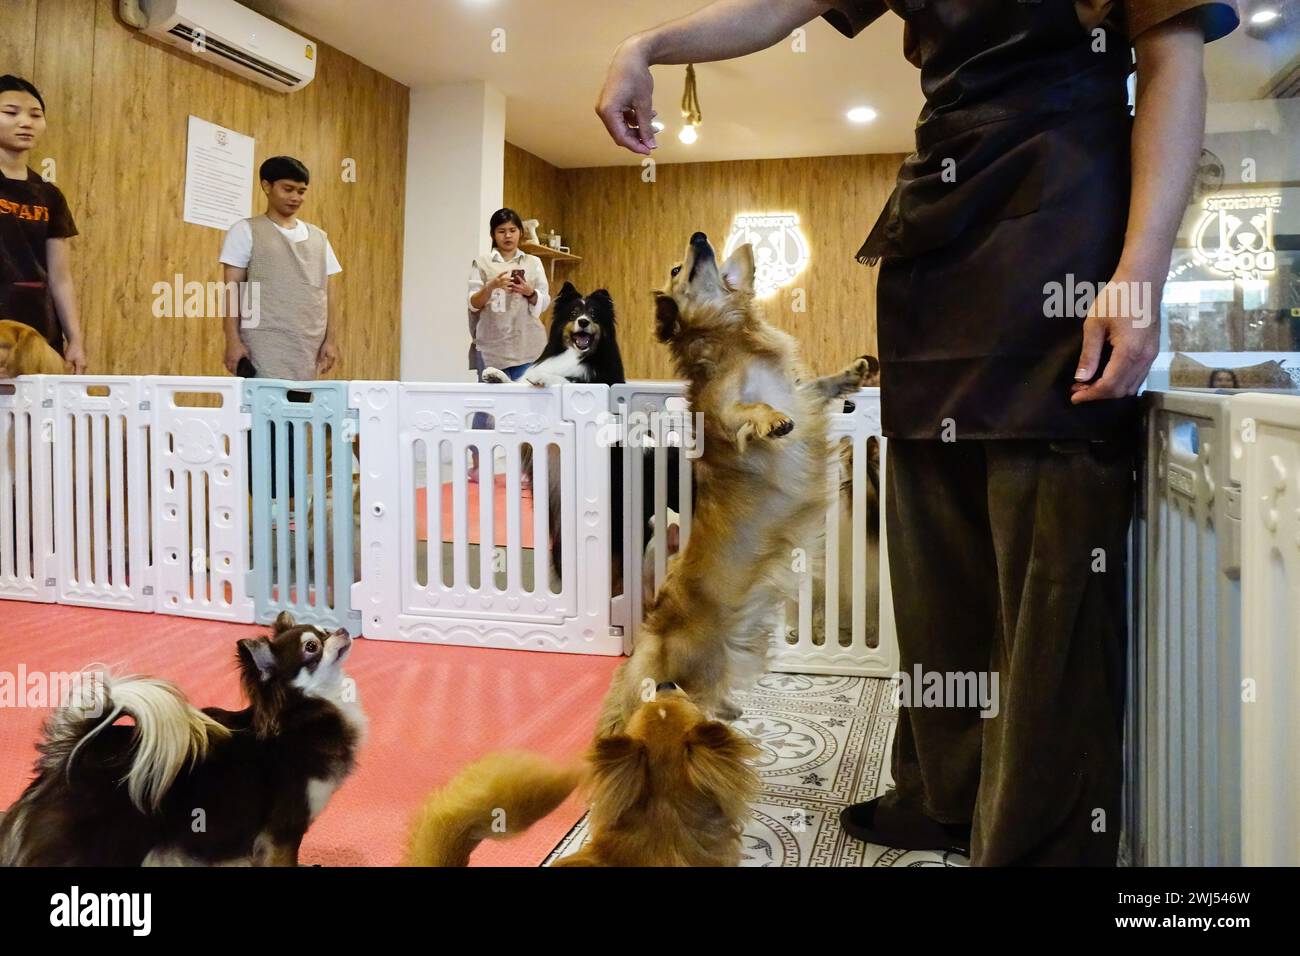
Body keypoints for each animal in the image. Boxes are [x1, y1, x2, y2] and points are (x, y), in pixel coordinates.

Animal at [0, 613, 366, 868]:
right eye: (312, 647)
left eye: (323, 631)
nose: (342, 630)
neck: (304, 711)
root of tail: (67, 758)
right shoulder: (282, 834)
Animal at [598, 235, 873, 738]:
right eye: (677, 269)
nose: (700, 236)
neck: (736, 342)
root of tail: (652, 627)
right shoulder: (727, 412)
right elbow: (750, 409)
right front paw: (771, 419)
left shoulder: (803, 394)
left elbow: (818, 385)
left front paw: (852, 372)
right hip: (689, 665)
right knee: (677, 696)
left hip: (713, 666)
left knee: (706, 696)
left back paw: (730, 713)